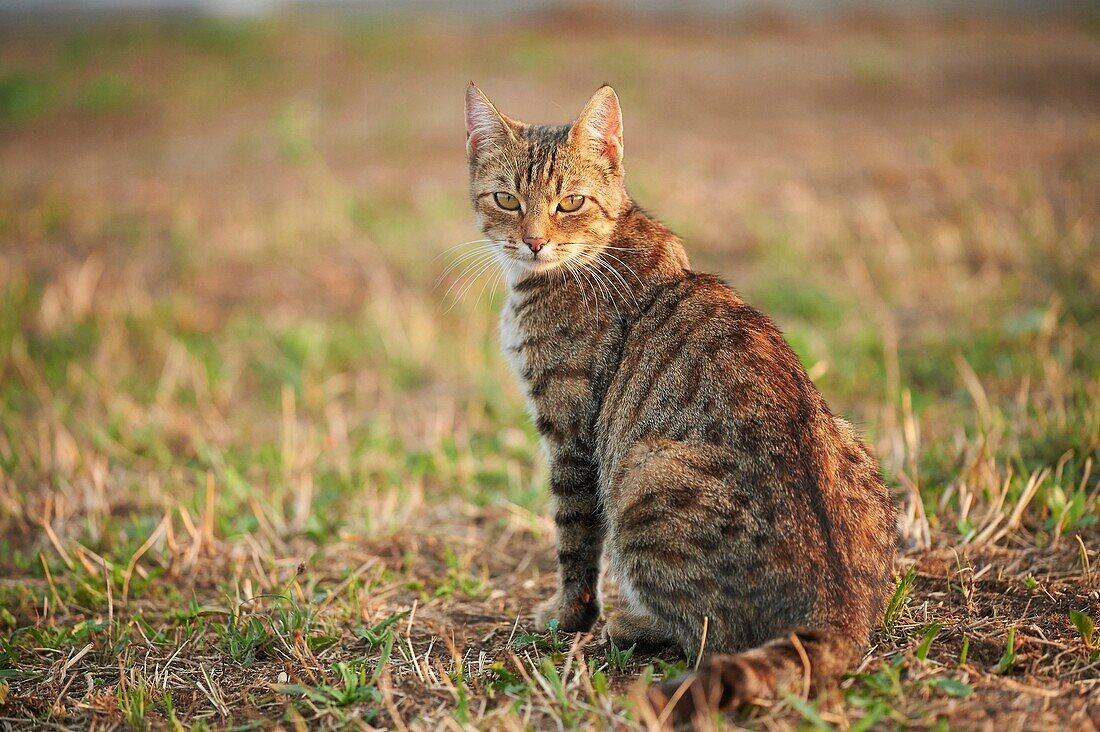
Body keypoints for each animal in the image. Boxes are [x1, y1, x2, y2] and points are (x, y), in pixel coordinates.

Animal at [459, 82, 897, 722]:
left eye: (570, 202)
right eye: (507, 199)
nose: (534, 241)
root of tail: (838, 608)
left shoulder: (571, 438)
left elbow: (573, 543)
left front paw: (566, 618)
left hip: (645, 473)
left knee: (708, 638)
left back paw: (632, 624)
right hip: (845, 436)